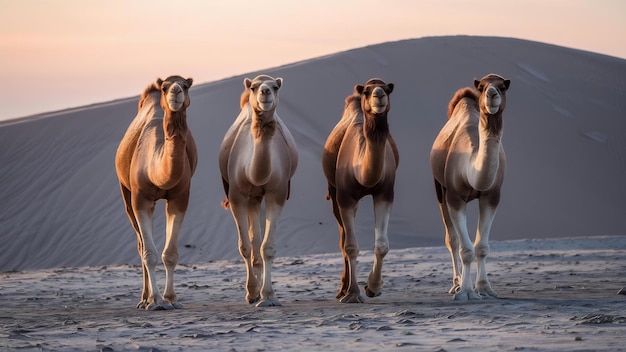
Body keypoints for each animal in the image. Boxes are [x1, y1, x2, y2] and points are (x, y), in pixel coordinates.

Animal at [114, 75, 196, 310]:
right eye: (165, 87)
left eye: (186, 85)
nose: (176, 91)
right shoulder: (140, 199)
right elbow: (149, 253)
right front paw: (157, 301)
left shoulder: (180, 197)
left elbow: (171, 253)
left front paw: (171, 298)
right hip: (126, 193)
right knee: (141, 245)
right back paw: (144, 298)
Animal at [219, 75, 298, 308]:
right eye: (254, 87)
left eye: (276, 87)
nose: (264, 92)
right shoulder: (237, 196)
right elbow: (245, 246)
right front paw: (252, 292)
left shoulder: (277, 194)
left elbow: (267, 247)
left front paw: (268, 295)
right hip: (249, 196)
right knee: (252, 241)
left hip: (257, 196)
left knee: (258, 240)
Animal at [322, 77, 394, 302]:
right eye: (367, 91)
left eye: (388, 89)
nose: (379, 94)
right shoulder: (344, 197)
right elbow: (350, 246)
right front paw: (353, 294)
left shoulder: (385, 193)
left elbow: (382, 245)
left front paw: (373, 287)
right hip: (334, 192)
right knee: (343, 239)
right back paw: (342, 290)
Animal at [428, 73, 512, 302]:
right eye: (482, 87)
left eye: (503, 86)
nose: (491, 94)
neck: (470, 167)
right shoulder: (455, 197)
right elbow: (465, 249)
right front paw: (465, 292)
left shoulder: (492, 196)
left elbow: (481, 247)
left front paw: (484, 288)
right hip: (440, 189)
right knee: (452, 240)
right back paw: (456, 285)